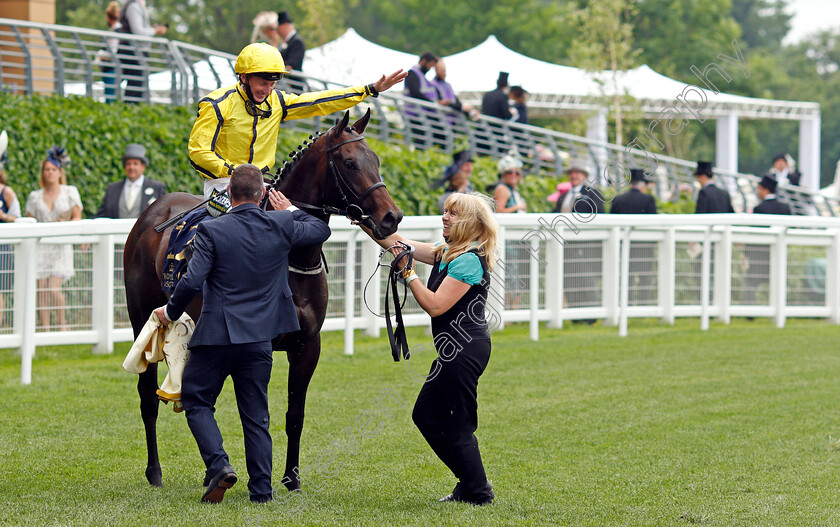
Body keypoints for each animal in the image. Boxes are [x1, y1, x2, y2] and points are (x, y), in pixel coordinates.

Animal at [120, 110, 404, 490]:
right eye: (349, 163)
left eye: (375, 160)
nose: (392, 217)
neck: (294, 254)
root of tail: (154, 210)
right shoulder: (260, 345)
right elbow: (257, 413)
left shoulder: (307, 346)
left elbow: (294, 414)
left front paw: (291, 479)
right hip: (142, 318)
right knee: (148, 397)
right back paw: (155, 472)